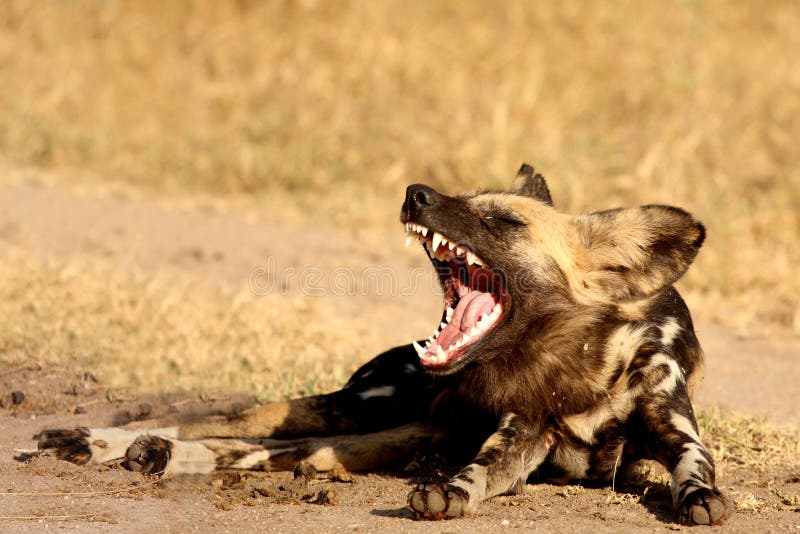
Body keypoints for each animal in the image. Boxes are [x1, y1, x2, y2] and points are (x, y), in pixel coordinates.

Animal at [32, 166, 732, 528]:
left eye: (504, 221)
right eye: (462, 200)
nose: (415, 192)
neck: (575, 367)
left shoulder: (668, 429)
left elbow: (694, 465)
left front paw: (699, 498)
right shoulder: (517, 438)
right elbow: (477, 470)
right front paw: (449, 492)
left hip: (388, 434)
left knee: (272, 453)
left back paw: (158, 455)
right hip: (357, 406)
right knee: (220, 423)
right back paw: (99, 442)